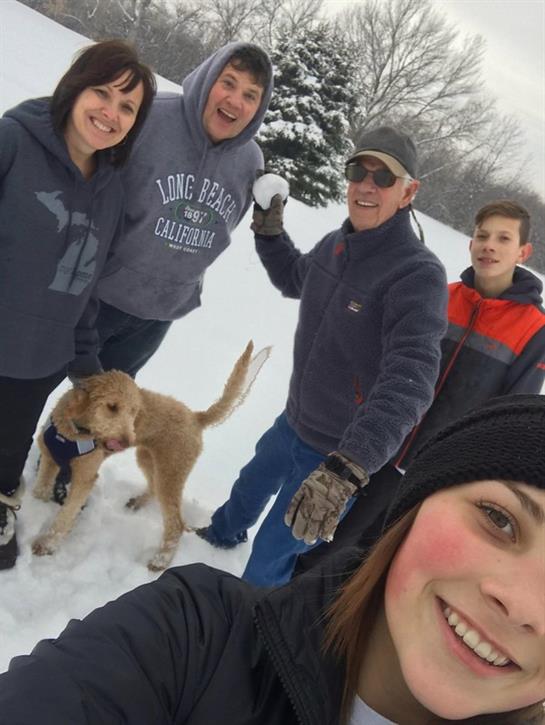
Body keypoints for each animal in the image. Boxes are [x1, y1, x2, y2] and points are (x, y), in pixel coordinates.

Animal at [32, 341, 269, 570]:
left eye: (134, 412)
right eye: (112, 406)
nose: (126, 440)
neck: (73, 432)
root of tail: (196, 417)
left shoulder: (85, 476)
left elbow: (66, 515)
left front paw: (46, 545)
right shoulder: (49, 459)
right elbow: (41, 489)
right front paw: (37, 508)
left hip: (171, 470)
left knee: (176, 524)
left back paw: (160, 560)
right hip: (148, 458)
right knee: (154, 487)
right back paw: (137, 503)